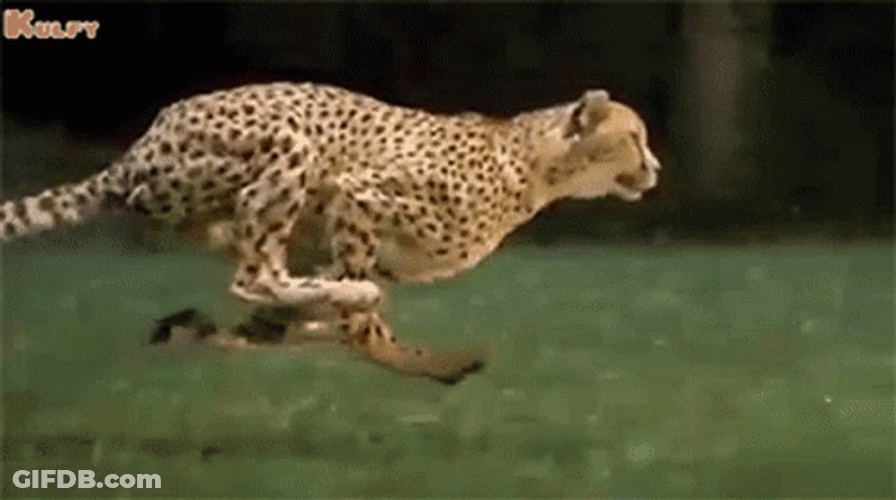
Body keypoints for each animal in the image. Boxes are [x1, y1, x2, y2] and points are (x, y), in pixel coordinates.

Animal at [1, 82, 660, 384]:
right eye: (633, 136)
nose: (655, 168)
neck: (537, 165)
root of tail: (134, 154)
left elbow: (324, 321)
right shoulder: (358, 194)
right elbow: (360, 326)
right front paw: (434, 361)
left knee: (262, 284)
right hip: (290, 143)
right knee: (255, 276)